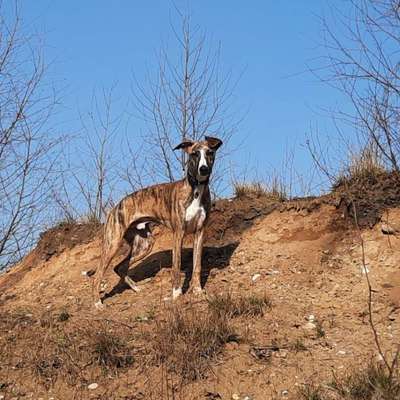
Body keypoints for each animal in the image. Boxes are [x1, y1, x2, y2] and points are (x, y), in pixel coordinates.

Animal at [95, 136, 223, 308]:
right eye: (194, 154)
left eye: (209, 153)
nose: (203, 169)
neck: (196, 190)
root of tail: (115, 206)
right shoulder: (178, 234)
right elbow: (176, 266)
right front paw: (176, 295)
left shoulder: (199, 233)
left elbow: (197, 265)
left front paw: (197, 291)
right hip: (112, 244)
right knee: (98, 275)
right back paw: (97, 302)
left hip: (144, 245)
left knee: (119, 267)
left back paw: (136, 288)